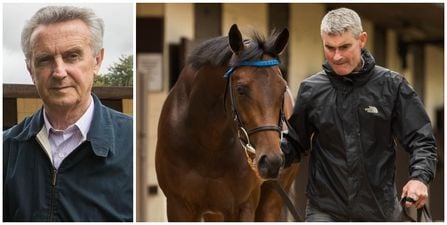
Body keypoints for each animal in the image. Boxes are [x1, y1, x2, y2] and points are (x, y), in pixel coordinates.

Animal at [156, 23, 300, 221]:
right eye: (240, 89)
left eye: (282, 88)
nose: (272, 161)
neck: (207, 145)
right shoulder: (178, 205)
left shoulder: (242, 207)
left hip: (271, 199)